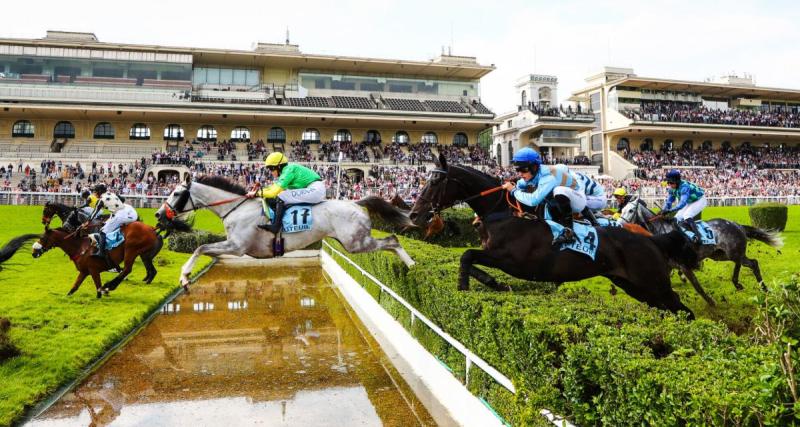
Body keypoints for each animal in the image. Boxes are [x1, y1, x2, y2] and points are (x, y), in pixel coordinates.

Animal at [32, 226, 164, 300]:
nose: (34, 252)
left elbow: (97, 287)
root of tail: (152, 229)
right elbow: (75, 286)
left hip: (131, 250)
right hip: (143, 254)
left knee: (127, 269)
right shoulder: (84, 271)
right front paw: (66, 296)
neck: (80, 247)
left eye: (42, 238)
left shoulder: (93, 270)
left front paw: (102, 292)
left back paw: (109, 286)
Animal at [157, 175, 418, 290]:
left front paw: (184, 276)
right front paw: (186, 275)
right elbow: (203, 247)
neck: (237, 208)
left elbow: (200, 247)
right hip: (355, 242)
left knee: (393, 239)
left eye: (176, 193)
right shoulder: (232, 247)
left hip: (356, 243)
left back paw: (412, 265)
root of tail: (356, 202)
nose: (159, 214)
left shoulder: (237, 247)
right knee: (391, 241)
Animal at [410, 154, 696, 318]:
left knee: (684, 309)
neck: (505, 213)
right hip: (637, 287)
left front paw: (463, 287)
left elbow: (467, 256)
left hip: (654, 284)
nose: (414, 214)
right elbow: (471, 261)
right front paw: (496, 284)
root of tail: (651, 239)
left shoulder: (512, 260)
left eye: (434, 182)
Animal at [620, 199, 784, 306]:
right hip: (721, 254)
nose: (620, 224)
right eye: (621, 210)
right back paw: (737, 283)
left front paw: (711, 303)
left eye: (630, 210)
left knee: (753, 263)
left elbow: (697, 286)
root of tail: (737, 225)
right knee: (741, 263)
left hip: (732, 252)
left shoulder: (684, 265)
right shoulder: (668, 266)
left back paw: (763, 288)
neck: (664, 234)